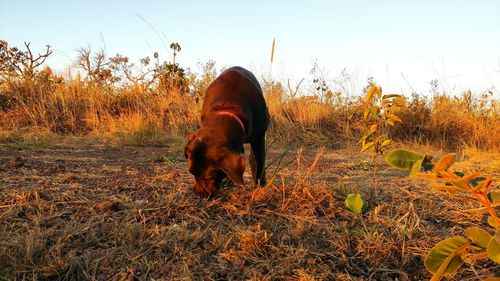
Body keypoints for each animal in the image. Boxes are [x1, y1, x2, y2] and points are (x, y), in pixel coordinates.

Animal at [185, 66, 270, 196]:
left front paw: (260, 187)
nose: (197, 193)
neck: (228, 107)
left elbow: (259, 164)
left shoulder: (259, 139)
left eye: (209, 178)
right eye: (191, 173)